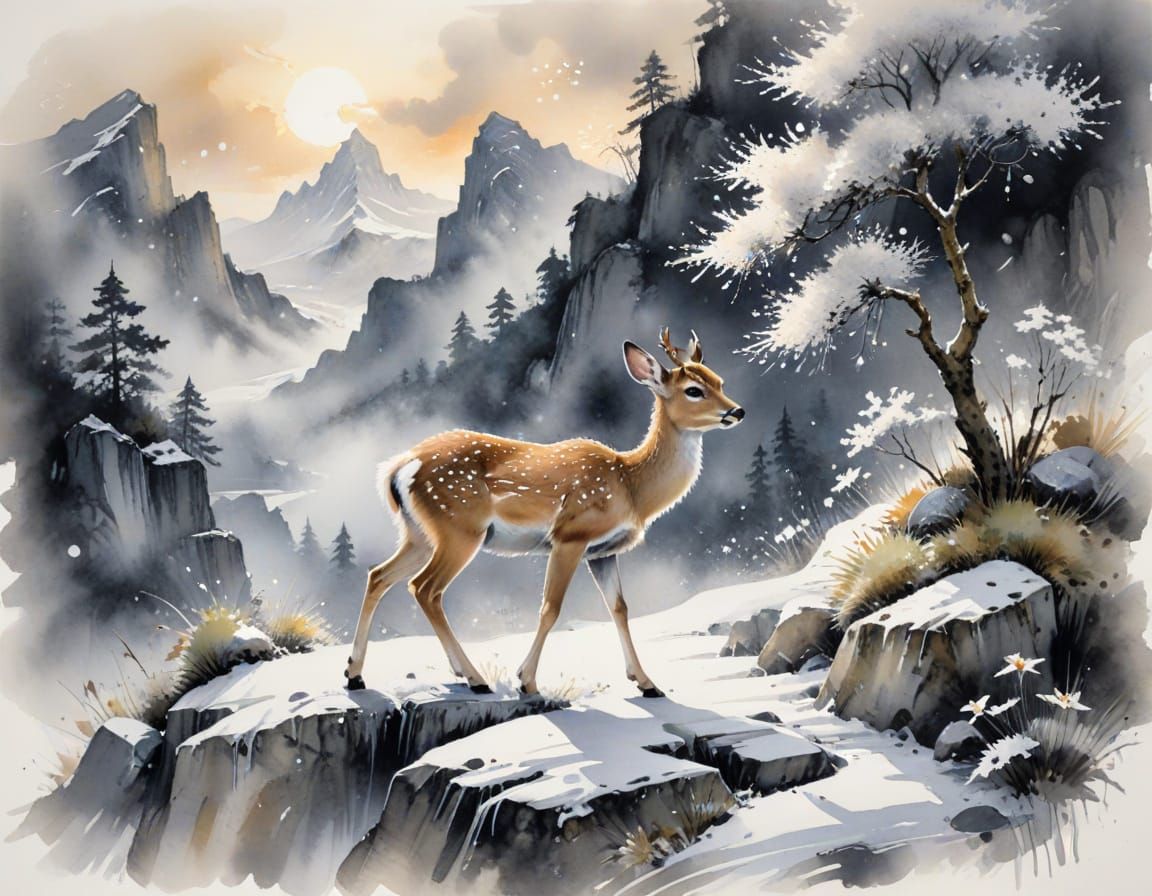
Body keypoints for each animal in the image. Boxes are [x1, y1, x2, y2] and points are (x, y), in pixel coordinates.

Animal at [344, 328, 745, 697]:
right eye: (693, 390)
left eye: (719, 381)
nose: (737, 410)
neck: (631, 485)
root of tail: (398, 468)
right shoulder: (570, 535)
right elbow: (551, 607)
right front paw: (527, 681)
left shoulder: (602, 552)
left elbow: (619, 608)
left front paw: (647, 683)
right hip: (459, 527)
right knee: (425, 589)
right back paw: (474, 678)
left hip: (420, 533)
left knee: (379, 575)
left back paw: (356, 674)